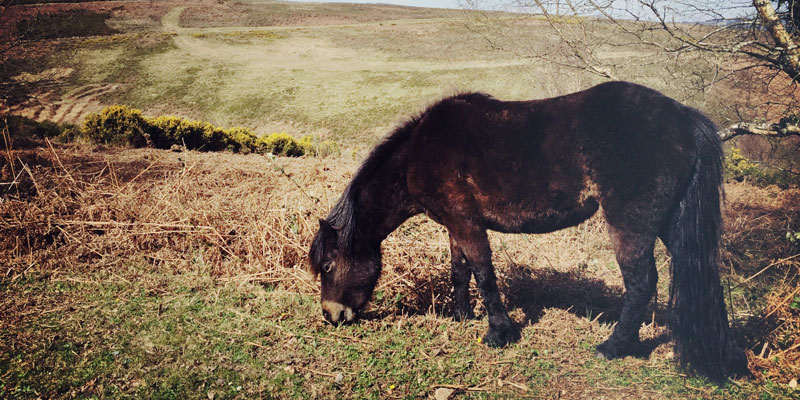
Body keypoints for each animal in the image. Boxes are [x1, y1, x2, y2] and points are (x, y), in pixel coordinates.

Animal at [308, 81, 752, 382]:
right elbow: (459, 270)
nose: (332, 316)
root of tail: (685, 118)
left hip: (631, 224)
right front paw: (461, 315)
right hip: (672, 223)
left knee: (642, 283)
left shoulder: (467, 222)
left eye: (327, 265)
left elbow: (484, 273)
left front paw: (498, 332)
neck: (419, 151)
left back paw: (612, 347)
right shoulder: (454, 224)